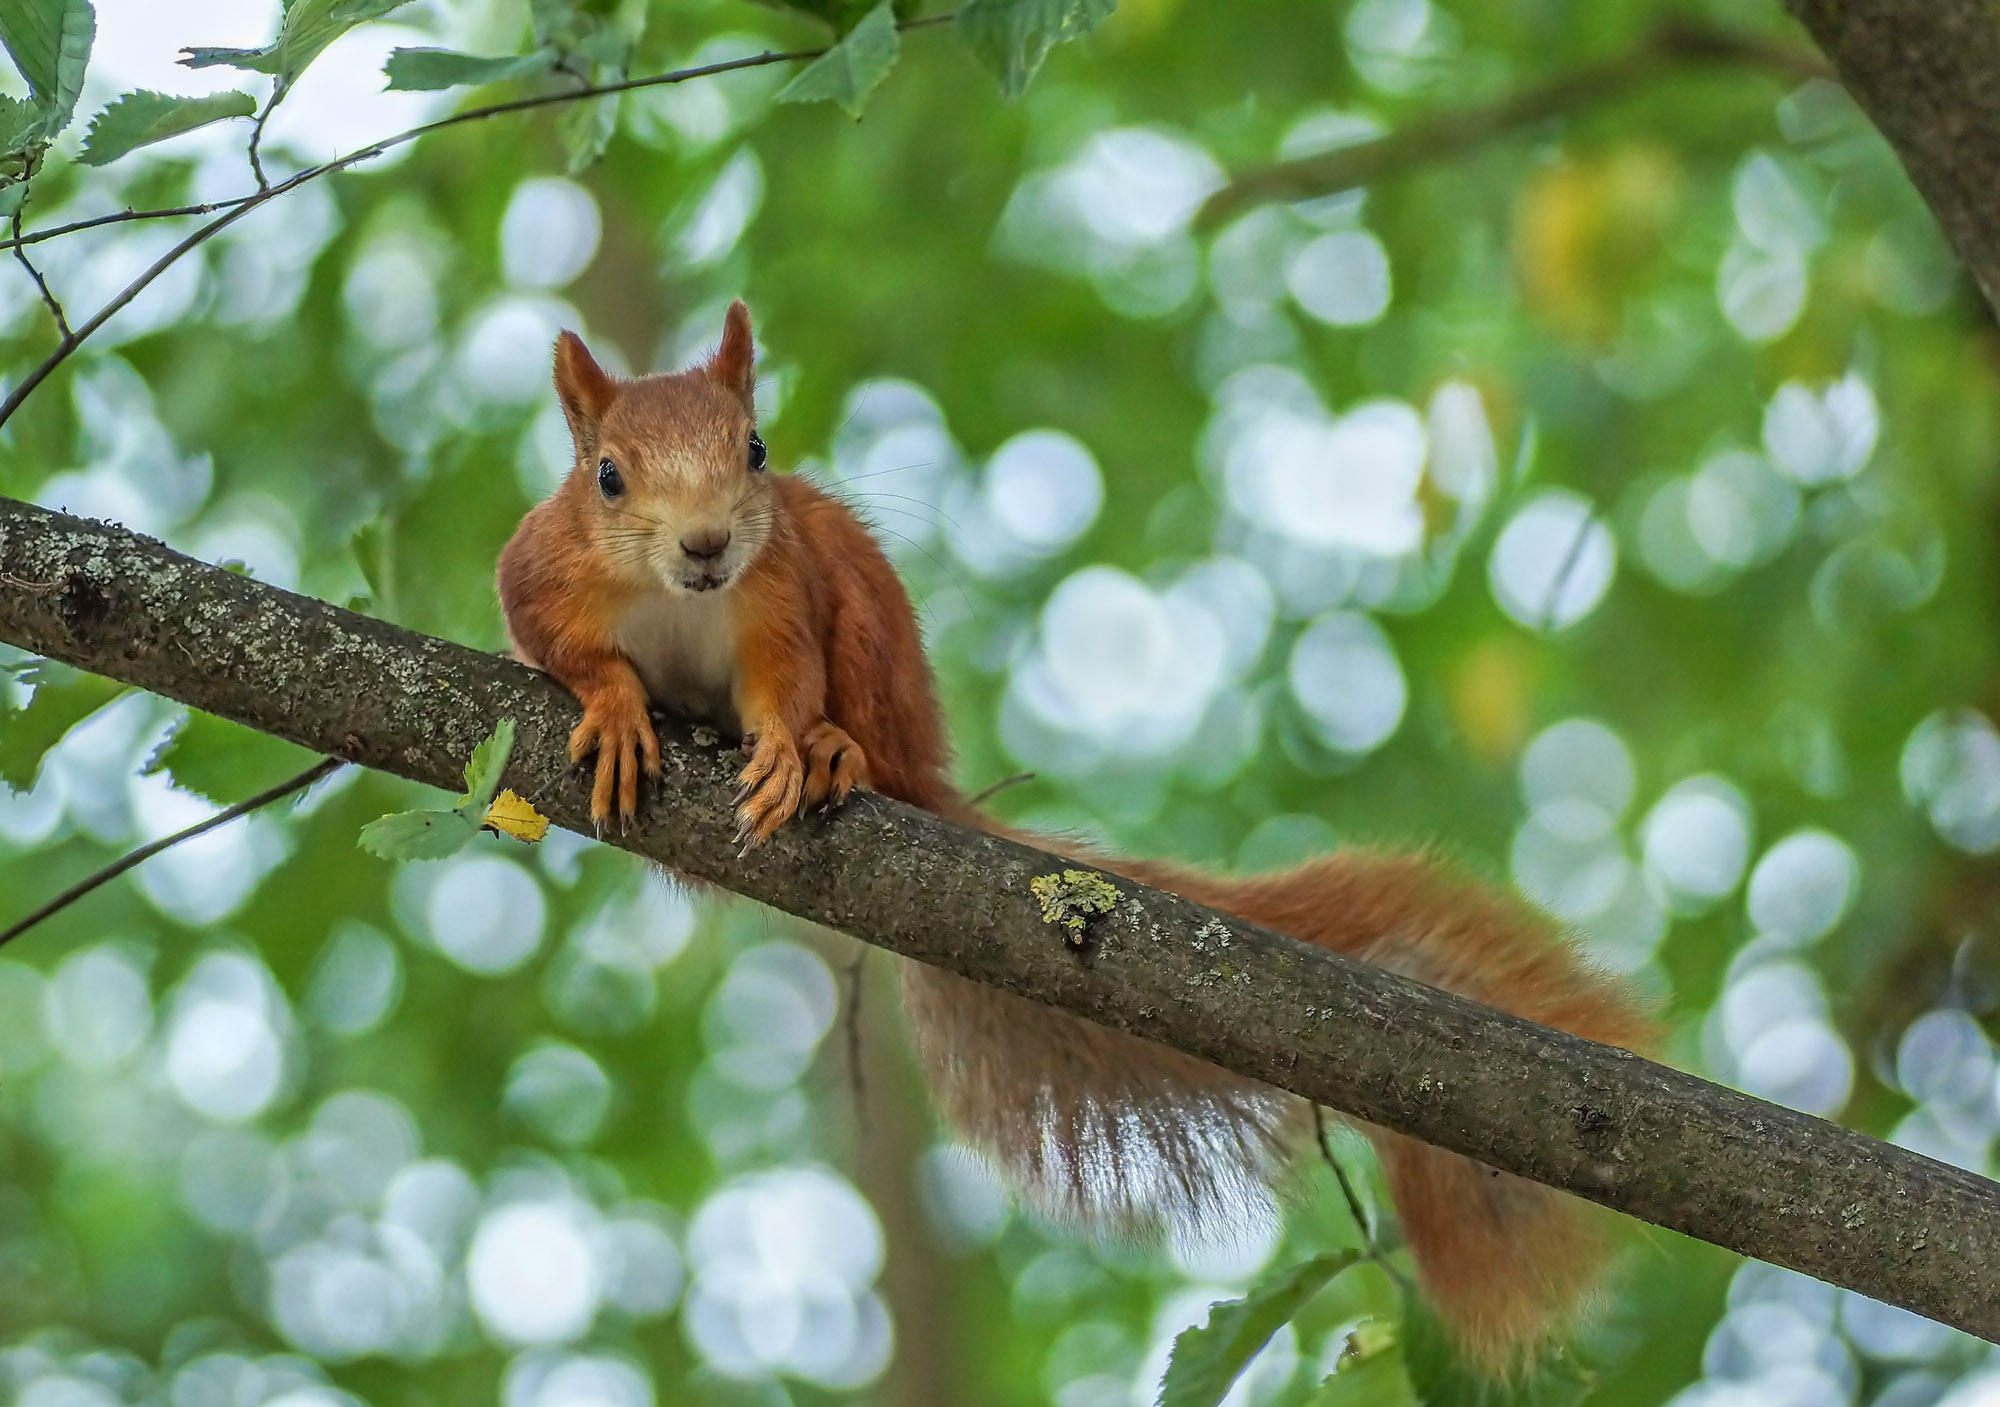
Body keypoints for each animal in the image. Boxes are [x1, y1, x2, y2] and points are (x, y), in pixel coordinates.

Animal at [500, 305, 1656, 1375]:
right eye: (607, 477)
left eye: (755, 449)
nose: (706, 545)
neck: (677, 596)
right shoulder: (540, 576)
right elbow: (565, 649)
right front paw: (614, 709)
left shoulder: (782, 587)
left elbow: (784, 682)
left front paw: (791, 744)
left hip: (853, 593)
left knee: (869, 731)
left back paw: (841, 754)